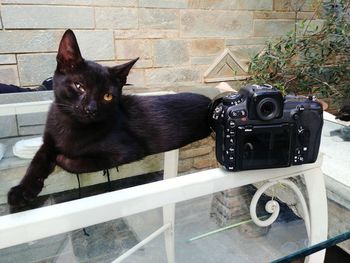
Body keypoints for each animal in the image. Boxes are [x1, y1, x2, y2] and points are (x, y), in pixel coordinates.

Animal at [7, 29, 211, 207]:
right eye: (79, 86)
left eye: (107, 96)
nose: (91, 109)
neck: (70, 125)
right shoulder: (48, 141)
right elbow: (37, 161)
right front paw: (21, 190)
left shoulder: (129, 150)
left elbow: (84, 161)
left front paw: (62, 158)